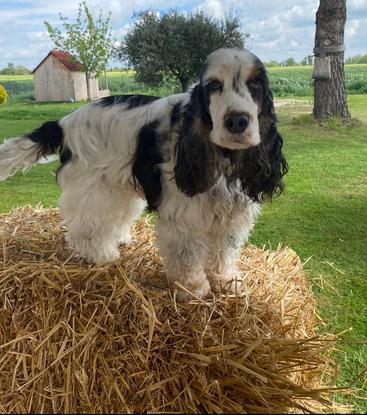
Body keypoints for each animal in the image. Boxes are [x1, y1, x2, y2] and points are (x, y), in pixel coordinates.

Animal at [0, 48, 288, 300]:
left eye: (256, 83)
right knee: (85, 229)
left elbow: (224, 252)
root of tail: (64, 123)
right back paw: (103, 256)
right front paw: (193, 289)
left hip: (118, 191)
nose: (237, 121)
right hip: (94, 189)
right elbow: (187, 257)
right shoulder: (183, 216)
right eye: (214, 85)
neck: (223, 158)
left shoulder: (232, 215)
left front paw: (226, 281)